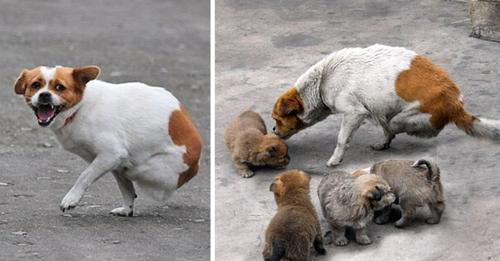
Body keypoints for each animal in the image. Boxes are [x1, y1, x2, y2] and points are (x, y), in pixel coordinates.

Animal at [15, 65, 203, 215]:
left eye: (59, 87)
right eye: (35, 85)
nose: (44, 95)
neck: (79, 108)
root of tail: (196, 165)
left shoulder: (111, 154)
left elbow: (84, 176)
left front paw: (71, 199)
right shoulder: (109, 161)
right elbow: (124, 188)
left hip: (144, 170)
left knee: (130, 173)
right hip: (120, 168)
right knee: (127, 187)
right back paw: (126, 210)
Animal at [274, 44, 500, 167]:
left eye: (277, 119)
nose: (274, 131)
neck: (322, 80)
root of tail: (455, 104)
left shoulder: (354, 113)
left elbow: (341, 139)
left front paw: (336, 159)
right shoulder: (369, 109)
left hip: (406, 118)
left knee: (395, 125)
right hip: (387, 111)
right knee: (387, 124)